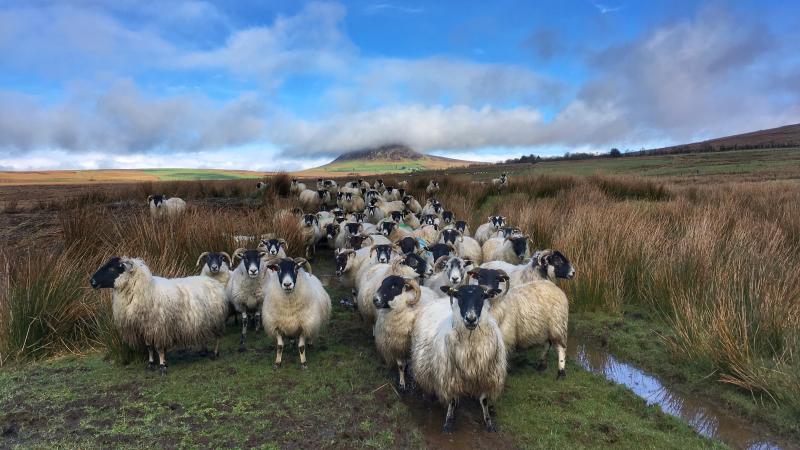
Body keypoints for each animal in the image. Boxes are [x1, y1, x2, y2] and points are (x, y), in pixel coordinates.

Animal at [90, 255, 228, 374]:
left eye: (112, 268)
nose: (92, 281)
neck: (146, 289)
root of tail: (213, 281)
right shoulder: (145, 327)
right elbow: (149, 347)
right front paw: (151, 364)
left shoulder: (158, 327)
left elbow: (159, 348)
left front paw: (162, 366)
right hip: (203, 319)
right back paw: (203, 351)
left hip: (217, 319)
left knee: (218, 337)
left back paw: (215, 354)